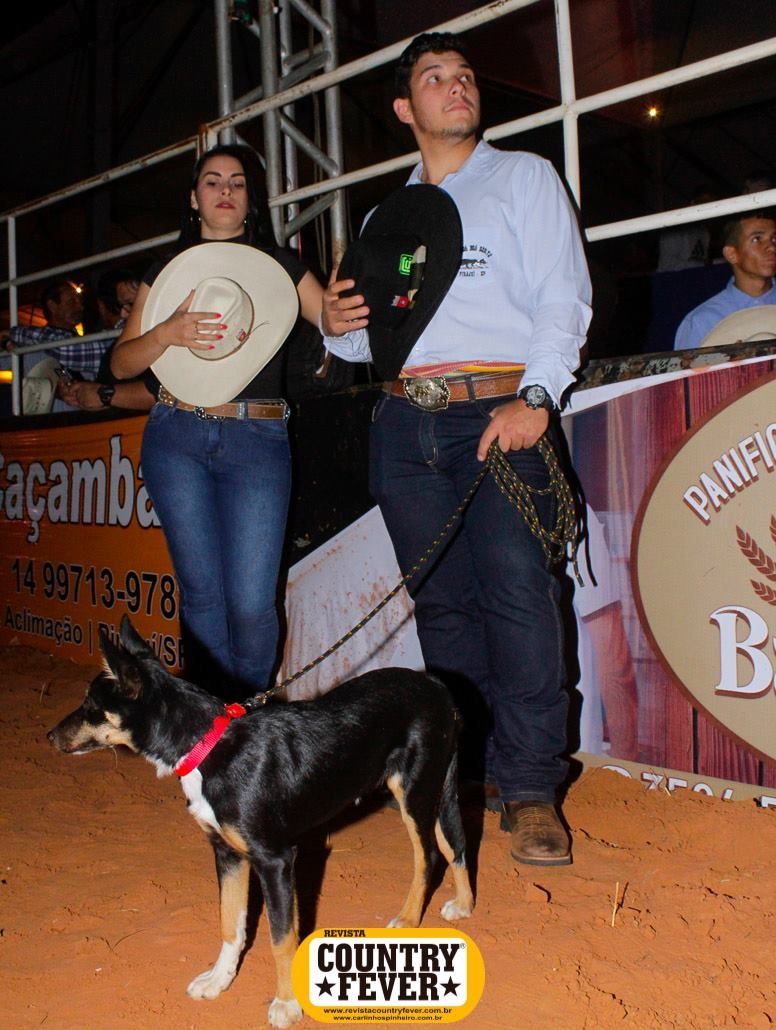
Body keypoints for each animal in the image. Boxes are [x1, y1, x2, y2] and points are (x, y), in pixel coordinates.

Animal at [48, 616, 474, 1028]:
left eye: (89, 705)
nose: (50, 736)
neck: (205, 747)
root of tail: (436, 685)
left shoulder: (275, 860)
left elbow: (281, 939)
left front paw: (286, 1005)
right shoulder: (228, 854)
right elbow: (230, 924)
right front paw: (219, 981)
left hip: (412, 792)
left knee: (428, 857)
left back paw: (408, 919)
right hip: (435, 790)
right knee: (457, 844)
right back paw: (465, 905)